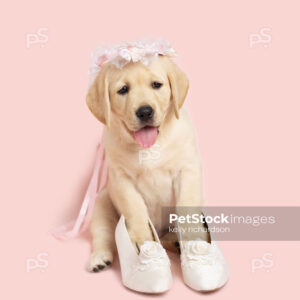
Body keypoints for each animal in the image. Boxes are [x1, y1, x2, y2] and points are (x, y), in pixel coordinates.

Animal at [86, 54, 204, 272]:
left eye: (156, 85)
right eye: (123, 89)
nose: (145, 112)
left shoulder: (187, 170)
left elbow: (186, 207)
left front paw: (193, 242)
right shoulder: (121, 179)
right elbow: (135, 209)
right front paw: (142, 241)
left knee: (168, 235)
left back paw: (175, 241)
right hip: (102, 203)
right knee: (103, 235)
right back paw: (100, 258)